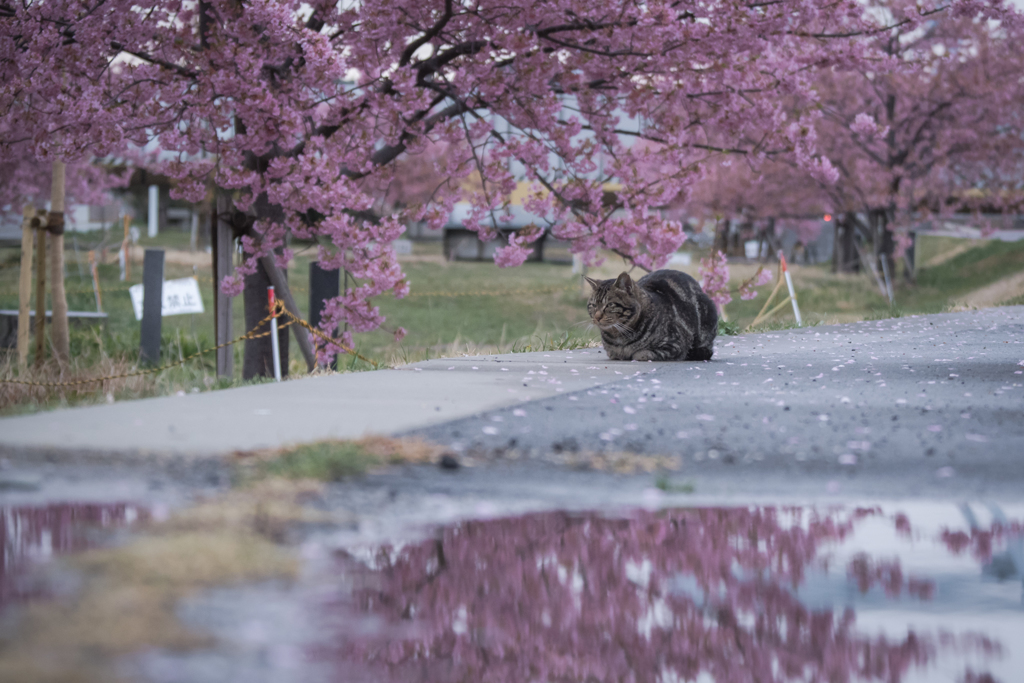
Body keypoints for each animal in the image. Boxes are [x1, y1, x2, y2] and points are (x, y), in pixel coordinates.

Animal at [585, 270, 720, 360]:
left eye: (610, 305)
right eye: (593, 305)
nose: (596, 317)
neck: (619, 337)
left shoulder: (675, 345)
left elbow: (642, 353)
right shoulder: (612, 352)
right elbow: (613, 353)